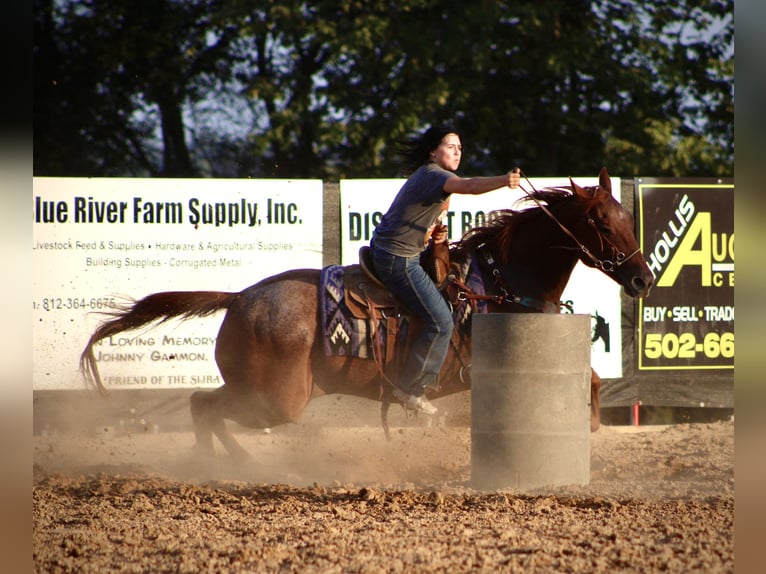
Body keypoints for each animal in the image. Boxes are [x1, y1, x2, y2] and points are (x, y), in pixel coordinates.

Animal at [79, 168, 656, 460]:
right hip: (276, 400)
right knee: (204, 406)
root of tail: (240, 298)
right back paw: (229, 467)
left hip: (263, 392)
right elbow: (589, 379)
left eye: (627, 217)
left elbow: (593, 377)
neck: (496, 279)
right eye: (601, 221)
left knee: (205, 405)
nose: (643, 279)